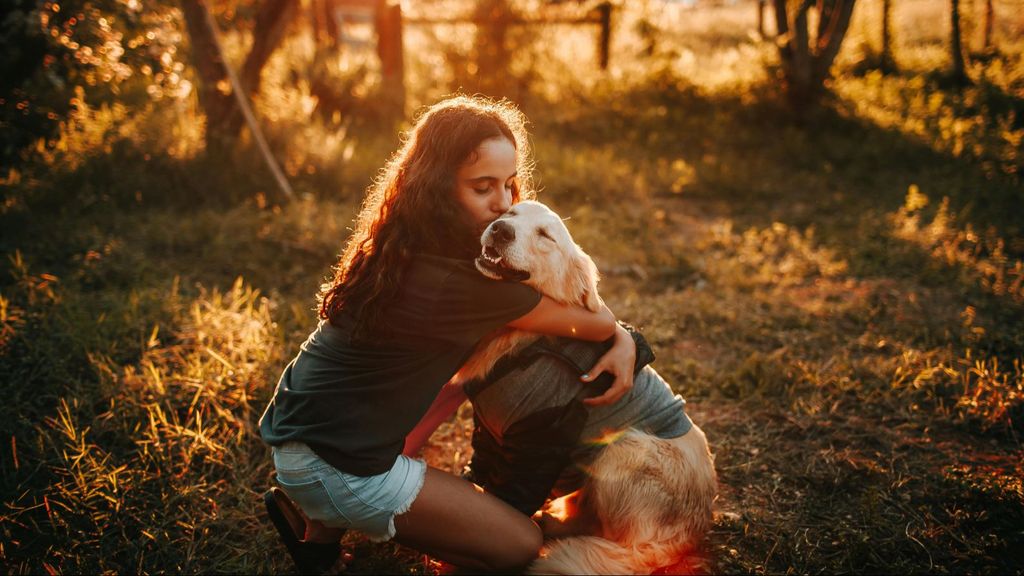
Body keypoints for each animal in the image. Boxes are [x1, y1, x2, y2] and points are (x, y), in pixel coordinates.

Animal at [458, 200, 720, 569]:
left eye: (545, 235)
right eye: (510, 214)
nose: (500, 230)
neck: (528, 340)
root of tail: (688, 534)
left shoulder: (536, 445)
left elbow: (509, 497)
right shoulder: (488, 428)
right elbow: (480, 467)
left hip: (624, 448)